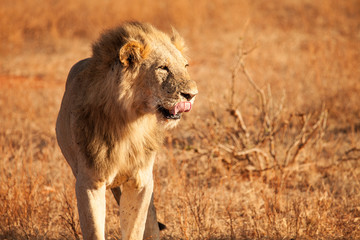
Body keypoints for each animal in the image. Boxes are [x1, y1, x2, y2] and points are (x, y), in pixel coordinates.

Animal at [55, 21, 197, 239]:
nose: (192, 95)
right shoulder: (89, 182)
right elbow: (94, 230)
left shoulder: (142, 181)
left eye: (185, 66)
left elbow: (135, 228)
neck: (130, 124)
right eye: (163, 68)